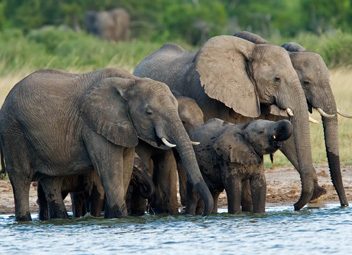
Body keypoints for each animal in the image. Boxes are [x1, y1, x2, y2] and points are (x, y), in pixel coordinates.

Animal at [0, 67, 213, 221]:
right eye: (149, 112)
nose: (204, 214)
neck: (130, 82)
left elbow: (125, 166)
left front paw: (115, 217)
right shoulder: (93, 126)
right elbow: (110, 167)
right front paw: (118, 217)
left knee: (51, 180)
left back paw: (60, 219)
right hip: (12, 131)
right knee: (21, 178)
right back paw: (24, 220)